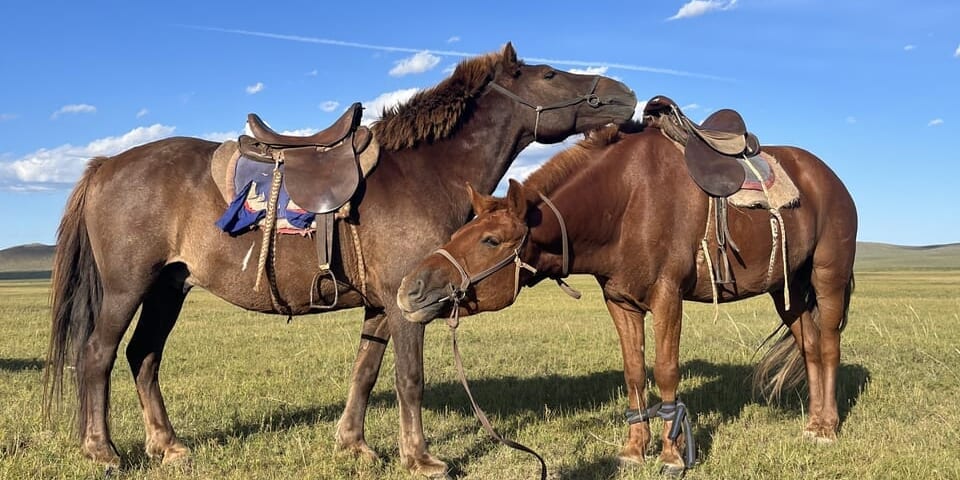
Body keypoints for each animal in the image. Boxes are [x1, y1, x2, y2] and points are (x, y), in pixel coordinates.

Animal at [43, 43, 637, 476]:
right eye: (549, 75)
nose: (625, 93)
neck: (427, 171)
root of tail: (106, 164)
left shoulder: (386, 302)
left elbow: (366, 372)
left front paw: (354, 444)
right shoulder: (408, 304)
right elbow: (409, 377)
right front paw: (421, 458)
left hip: (168, 287)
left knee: (143, 356)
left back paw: (167, 445)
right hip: (127, 288)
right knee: (97, 356)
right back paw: (102, 451)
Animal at [398, 122, 857, 472]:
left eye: (490, 240)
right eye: (459, 232)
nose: (410, 290)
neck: (626, 201)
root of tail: (830, 179)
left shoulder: (667, 297)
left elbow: (666, 371)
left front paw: (672, 454)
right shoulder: (620, 302)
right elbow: (634, 373)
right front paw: (634, 450)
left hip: (827, 277)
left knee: (829, 346)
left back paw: (828, 429)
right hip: (788, 289)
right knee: (809, 347)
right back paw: (812, 424)